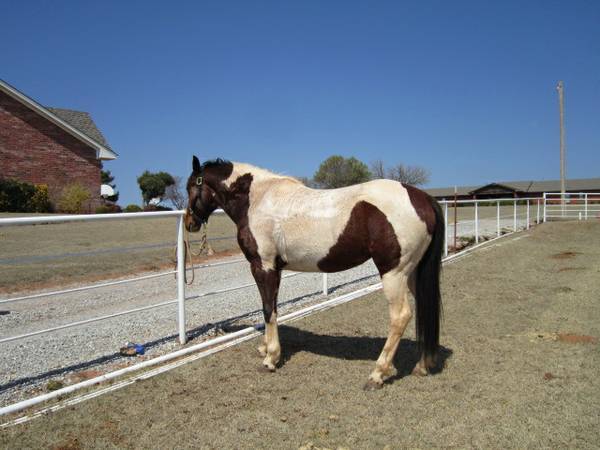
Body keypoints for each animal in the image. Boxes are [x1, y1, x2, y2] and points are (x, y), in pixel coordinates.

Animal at [185, 156, 444, 390]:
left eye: (190, 187)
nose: (190, 223)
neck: (258, 199)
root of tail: (423, 198)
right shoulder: (275, 269)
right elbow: (272, 307)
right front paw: (266, 349)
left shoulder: (263, 266)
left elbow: (267, 309)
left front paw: (270, 358)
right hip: (413, 274)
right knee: (424, 306)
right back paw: (422, 366)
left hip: (394, 274)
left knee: (400, 316)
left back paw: (377, 374)